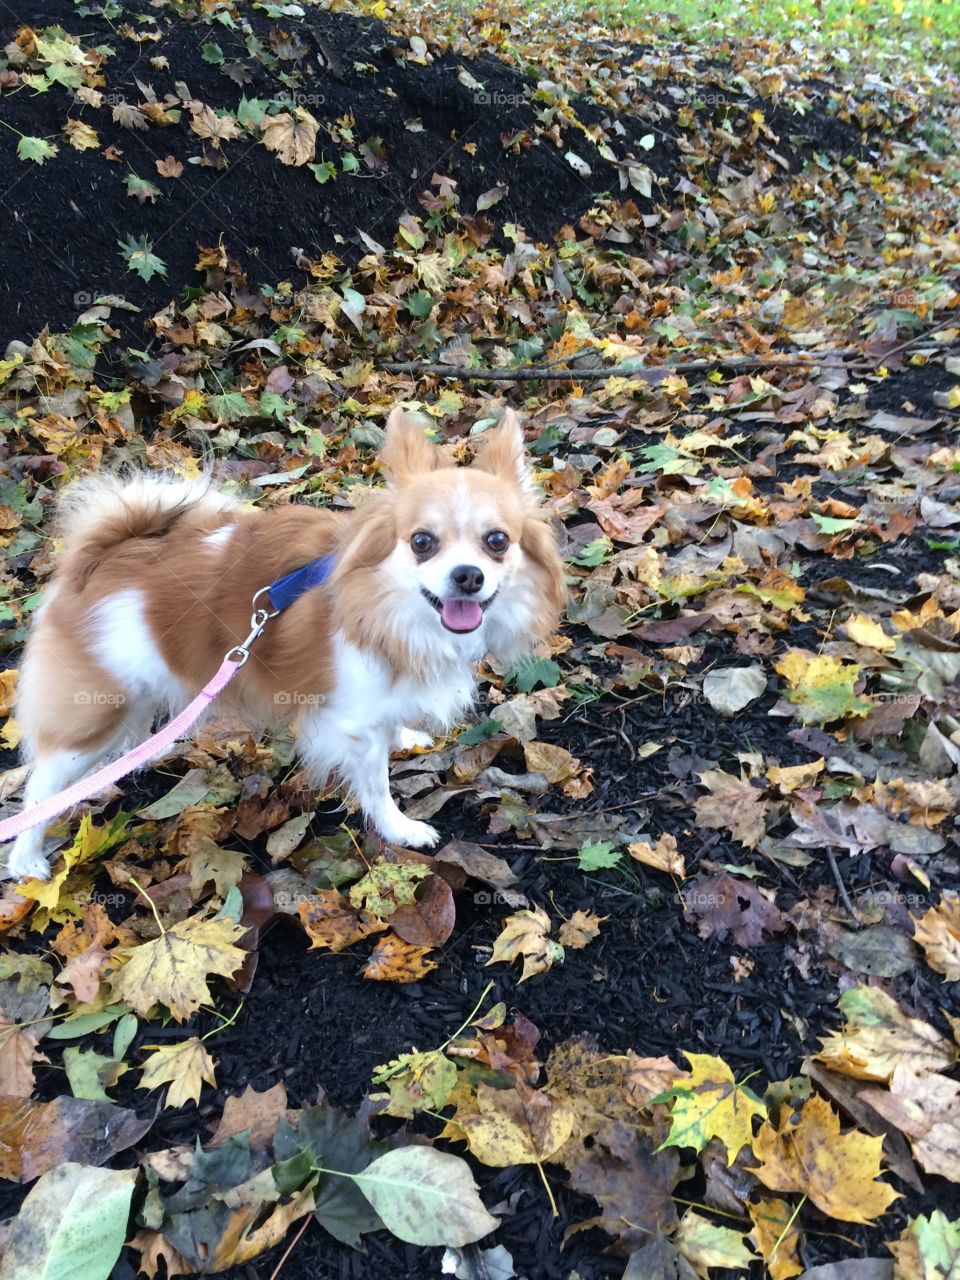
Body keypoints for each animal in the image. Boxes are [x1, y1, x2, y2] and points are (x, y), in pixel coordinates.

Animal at [3, 409, 568, 880]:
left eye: (497, 542)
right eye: (422, 542)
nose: (468, 576)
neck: (390, 609)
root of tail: (100, 557)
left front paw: (404, 735)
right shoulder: (352, 723)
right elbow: (376, 785)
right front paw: (400, 828)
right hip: (92, 713)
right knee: (42, 784)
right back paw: (27, 858)